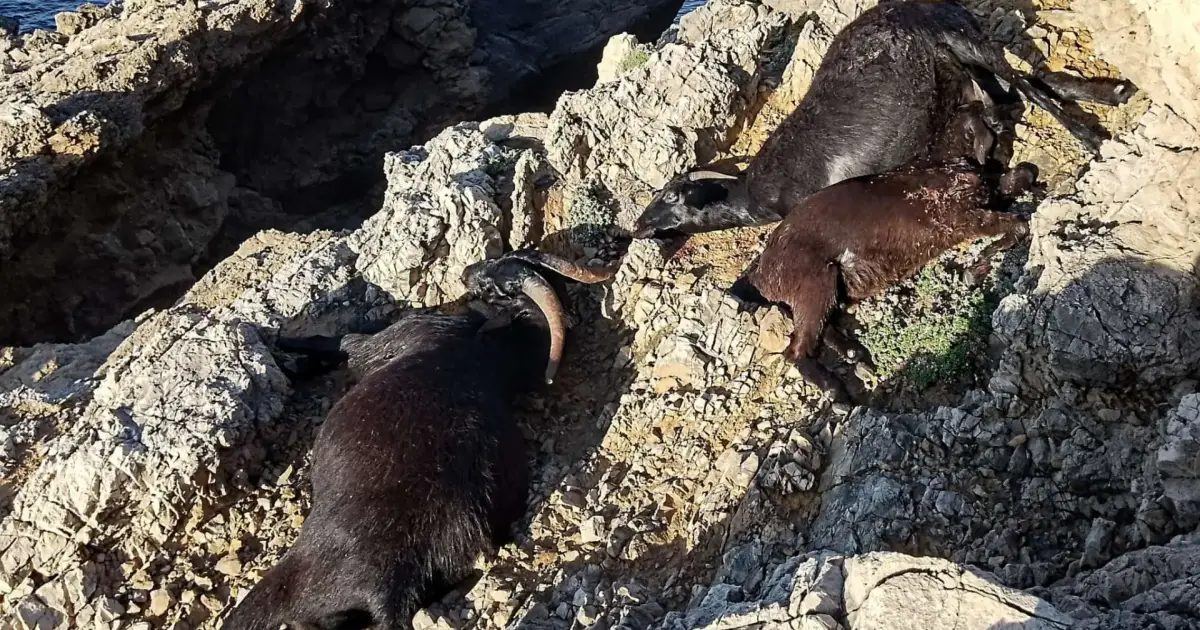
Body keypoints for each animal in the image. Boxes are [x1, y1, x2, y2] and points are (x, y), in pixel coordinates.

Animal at [223, 250, 614, 630]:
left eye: (493, 282)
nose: (469, 272)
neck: (495, 354)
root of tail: (389, 592)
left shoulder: (391, 338)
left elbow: (343, 343)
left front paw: (280, 341)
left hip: (288, 581)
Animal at [633, 0, 1133, 238]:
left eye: (669, 196)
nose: (637, 227)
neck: (754, 194)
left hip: (963, 40)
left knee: (1026, 85)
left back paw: (1092, 136)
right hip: (962, 59)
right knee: (1019, 88)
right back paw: (1111, 92)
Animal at [734, 160, 1036, 401]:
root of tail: (761, 274)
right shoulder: (962, 219)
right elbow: (1018, 224)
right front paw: (976, 267)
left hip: (824, 291)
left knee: (819, 328)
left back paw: (855, 353)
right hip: (817, 281)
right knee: (797, 350)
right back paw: (838, 392)